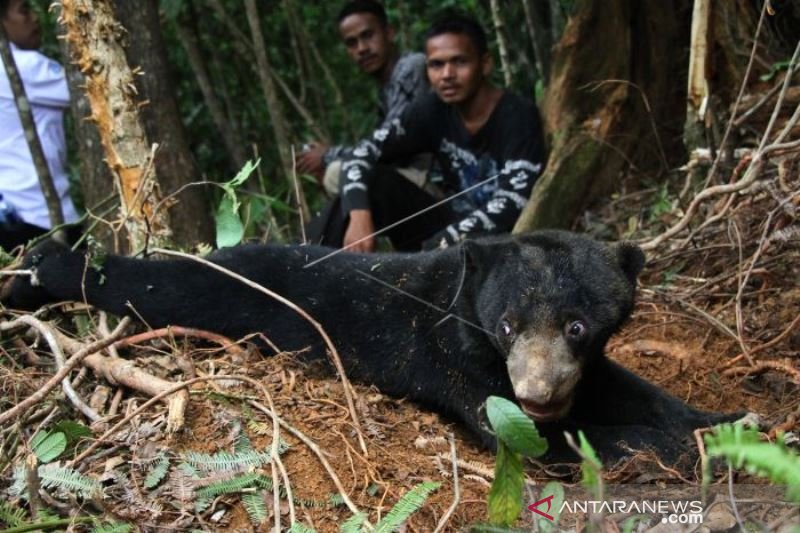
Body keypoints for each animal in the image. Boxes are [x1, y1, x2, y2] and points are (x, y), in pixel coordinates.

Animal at [0, 231, 740, 464]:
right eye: (505, 325)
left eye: (579, 326)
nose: (536, 392)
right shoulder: (458, 359)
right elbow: (529, 438)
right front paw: (681, 447)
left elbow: (634, 390)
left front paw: (729, 418)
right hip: (210, 291)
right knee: (155, 280)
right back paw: (41, 268)